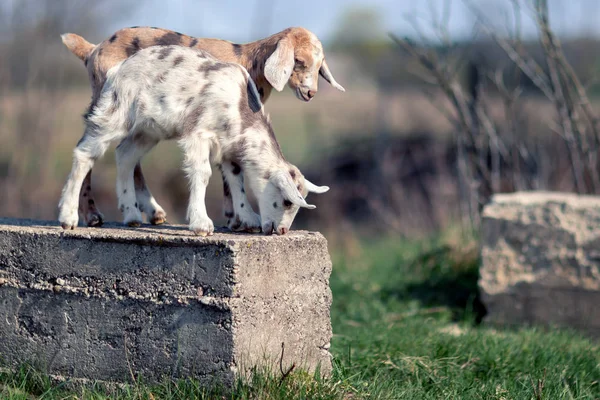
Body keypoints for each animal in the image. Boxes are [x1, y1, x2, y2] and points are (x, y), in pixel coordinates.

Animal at [57, 45, 328, 236]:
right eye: (287, 201)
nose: (281, 231)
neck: (240, 105)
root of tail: (117, 69)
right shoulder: (199, 133)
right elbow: (203, 173)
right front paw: (201, 224)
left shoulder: (229, 146)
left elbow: (236, 179)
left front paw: (248, 218)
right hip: (116, 112)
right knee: (85, 153)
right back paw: (68, 217)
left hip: (148, 130)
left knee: (125, 155)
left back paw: (132, 214)